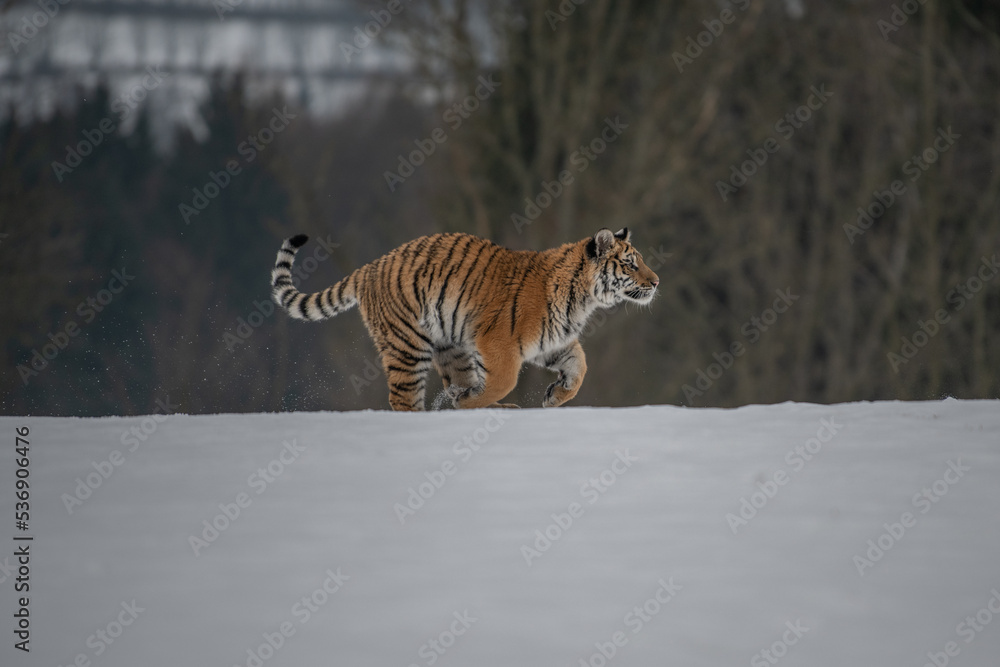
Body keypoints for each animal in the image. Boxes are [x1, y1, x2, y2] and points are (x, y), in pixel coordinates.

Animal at [270, 228, 659, 411]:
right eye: (630, 264)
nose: (656, 282)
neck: (583, 298)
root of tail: (370, 266)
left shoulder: (553, 341)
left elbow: (579, 368)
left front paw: (554, 396)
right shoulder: (499, 343)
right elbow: (503, 380)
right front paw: (467, 402)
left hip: (450, 345)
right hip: (408, 345)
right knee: (404, 401)